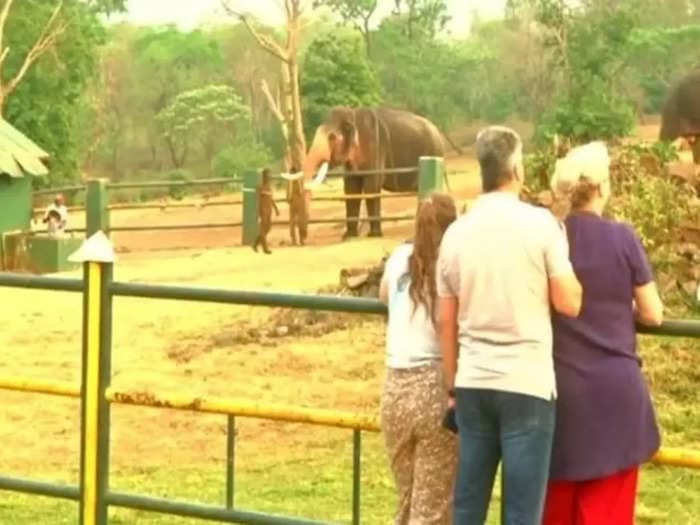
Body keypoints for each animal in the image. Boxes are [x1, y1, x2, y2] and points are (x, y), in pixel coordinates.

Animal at [302, 106, 446, 237]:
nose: (305, 237)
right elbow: (351, 188)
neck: (353, 113)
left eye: (332, 137)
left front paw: (374, 234)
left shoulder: (375, 146)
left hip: (434, 152)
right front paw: (348, 236)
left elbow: (372, 186)